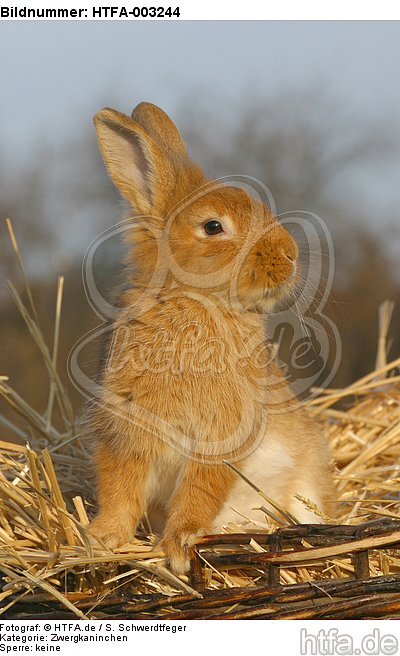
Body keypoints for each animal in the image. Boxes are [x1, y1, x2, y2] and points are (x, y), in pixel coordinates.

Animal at [89, 102, 336, 576]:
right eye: (213, 227)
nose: (291, 255)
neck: (197, 302)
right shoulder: (127, 432)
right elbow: (120, 489)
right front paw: (104, 538)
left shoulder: (220, 439)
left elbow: (198, 493)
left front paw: (179, 547)